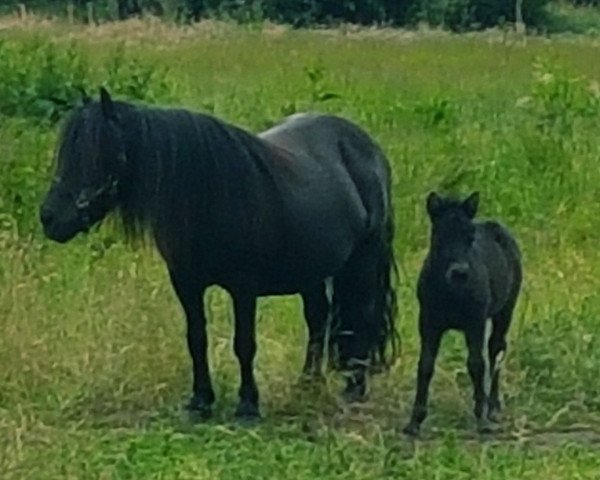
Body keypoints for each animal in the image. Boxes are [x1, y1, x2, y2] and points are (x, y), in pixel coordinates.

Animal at [38, 88, 398, 418]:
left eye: (97, 153)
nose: (49, 218)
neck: (208, 197)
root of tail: (368, 147)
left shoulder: (244, 287)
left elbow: (244, 344)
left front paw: (247, 406)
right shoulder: (186, 284)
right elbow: (196, 339)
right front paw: (200, 402)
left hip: (363, 262)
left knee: (363, 318)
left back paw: (354, 389)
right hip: (311, 270)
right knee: (318, 321)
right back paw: (307, 386)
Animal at [404, 192, 520, 436]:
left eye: (470, 237)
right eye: (439, 236)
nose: (459, 272)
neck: (452, 293)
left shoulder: (474, 323)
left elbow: (476, 364)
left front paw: (481, 419)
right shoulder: (428, 323)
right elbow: (425, 365)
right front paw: (414, 421)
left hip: (505, 311)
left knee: (496, 349)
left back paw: (493, 408)